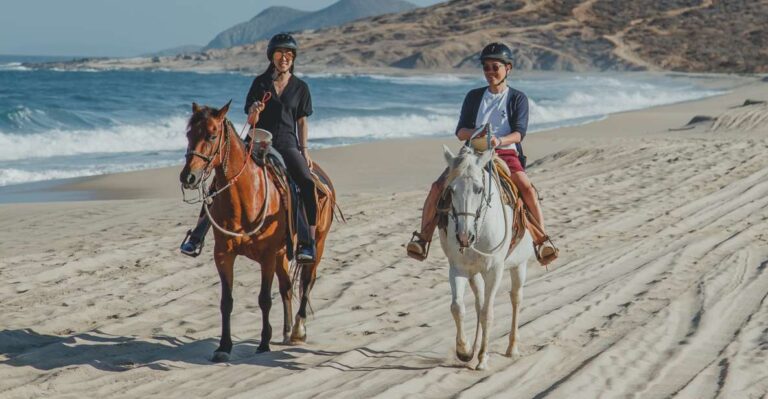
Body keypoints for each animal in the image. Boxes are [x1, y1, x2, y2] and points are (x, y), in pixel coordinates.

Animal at [182, 102, 338, 362]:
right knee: (286, 287)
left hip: (317, 244)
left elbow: (264, 299)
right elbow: (226, 301)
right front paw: (224, 346)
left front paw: (264, 343)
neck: (245, 197)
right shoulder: (223, 255)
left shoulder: (267, 256)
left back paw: (298, 330)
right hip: (282, 254)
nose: (188, 177)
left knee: (307, 282)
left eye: (212, 135)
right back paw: (286, 330)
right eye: (188, 134)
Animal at [438, 145, 536, 370]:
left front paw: (483, 358)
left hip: (519, 265)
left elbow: (488, 313)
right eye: (451, 190)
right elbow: (457, 307)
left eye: (479, 189)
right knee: (478, 302)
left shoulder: (494, 270)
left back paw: (512, 348)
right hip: (475, 273)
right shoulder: (458, 268)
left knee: (515, 298)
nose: (464, 236)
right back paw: (474, 348)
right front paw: (464, 350)